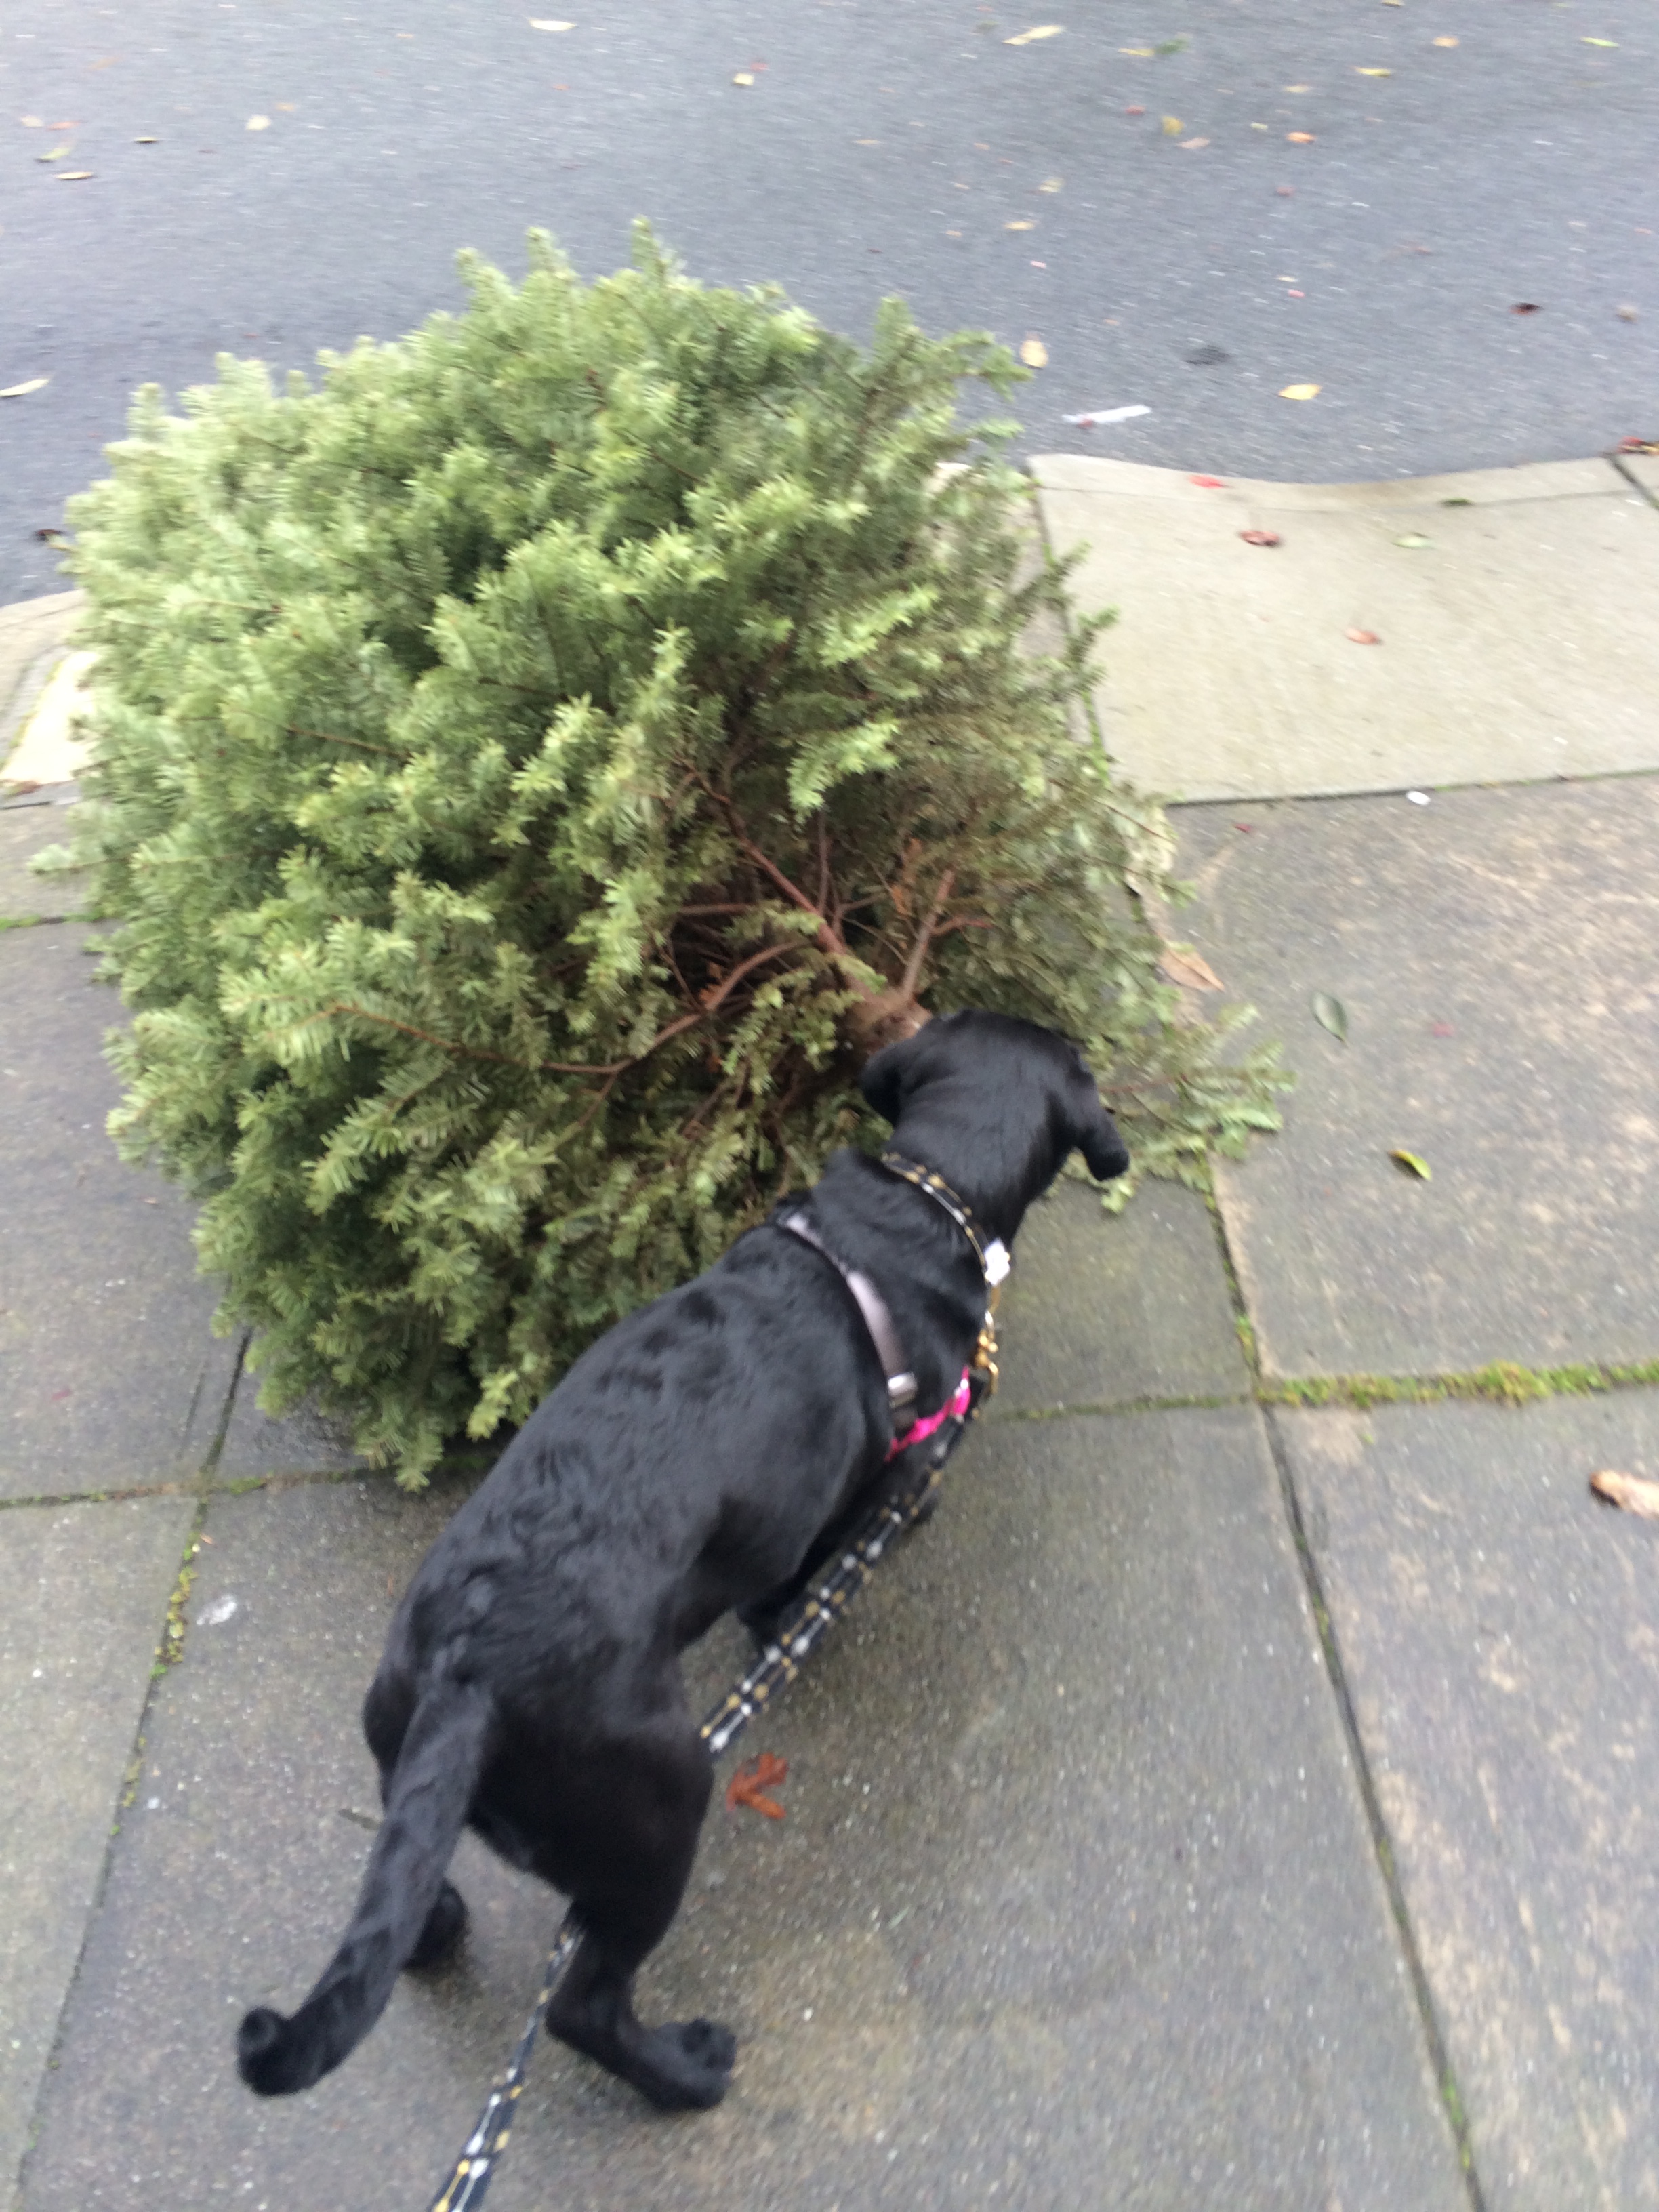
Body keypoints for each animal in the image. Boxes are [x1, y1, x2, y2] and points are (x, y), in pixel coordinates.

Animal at [237, 1010, 1128, 2112]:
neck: (917, 1204)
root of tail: (466, 1674)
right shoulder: (880, 1473)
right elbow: (805, 1577)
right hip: (661, 1809)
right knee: (584, 2007)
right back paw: (686, 2074)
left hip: (402, 1754)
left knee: (413, 1906)